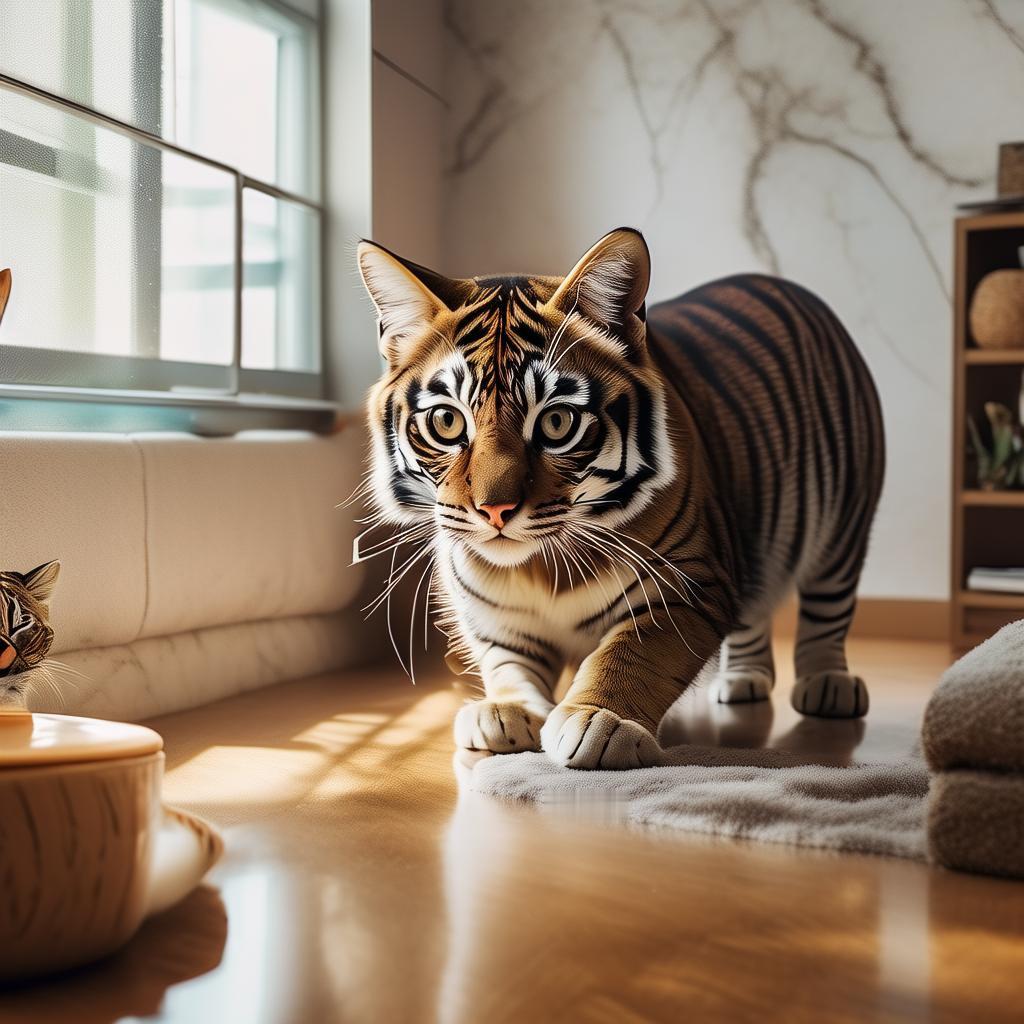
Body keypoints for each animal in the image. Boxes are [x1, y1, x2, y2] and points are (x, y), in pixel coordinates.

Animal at [356, 227, 884, 769]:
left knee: (828, 607)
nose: (494, 511)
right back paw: (742, 683)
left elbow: (634, 653)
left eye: (557, 422)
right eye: (447, 421)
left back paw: (829, 686)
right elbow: (507, 660)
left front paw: (599, 719)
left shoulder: (689, 581)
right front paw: (505, 711)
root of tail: (775, 282)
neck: (539, 568)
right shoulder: (492, 613)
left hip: (844, 521)